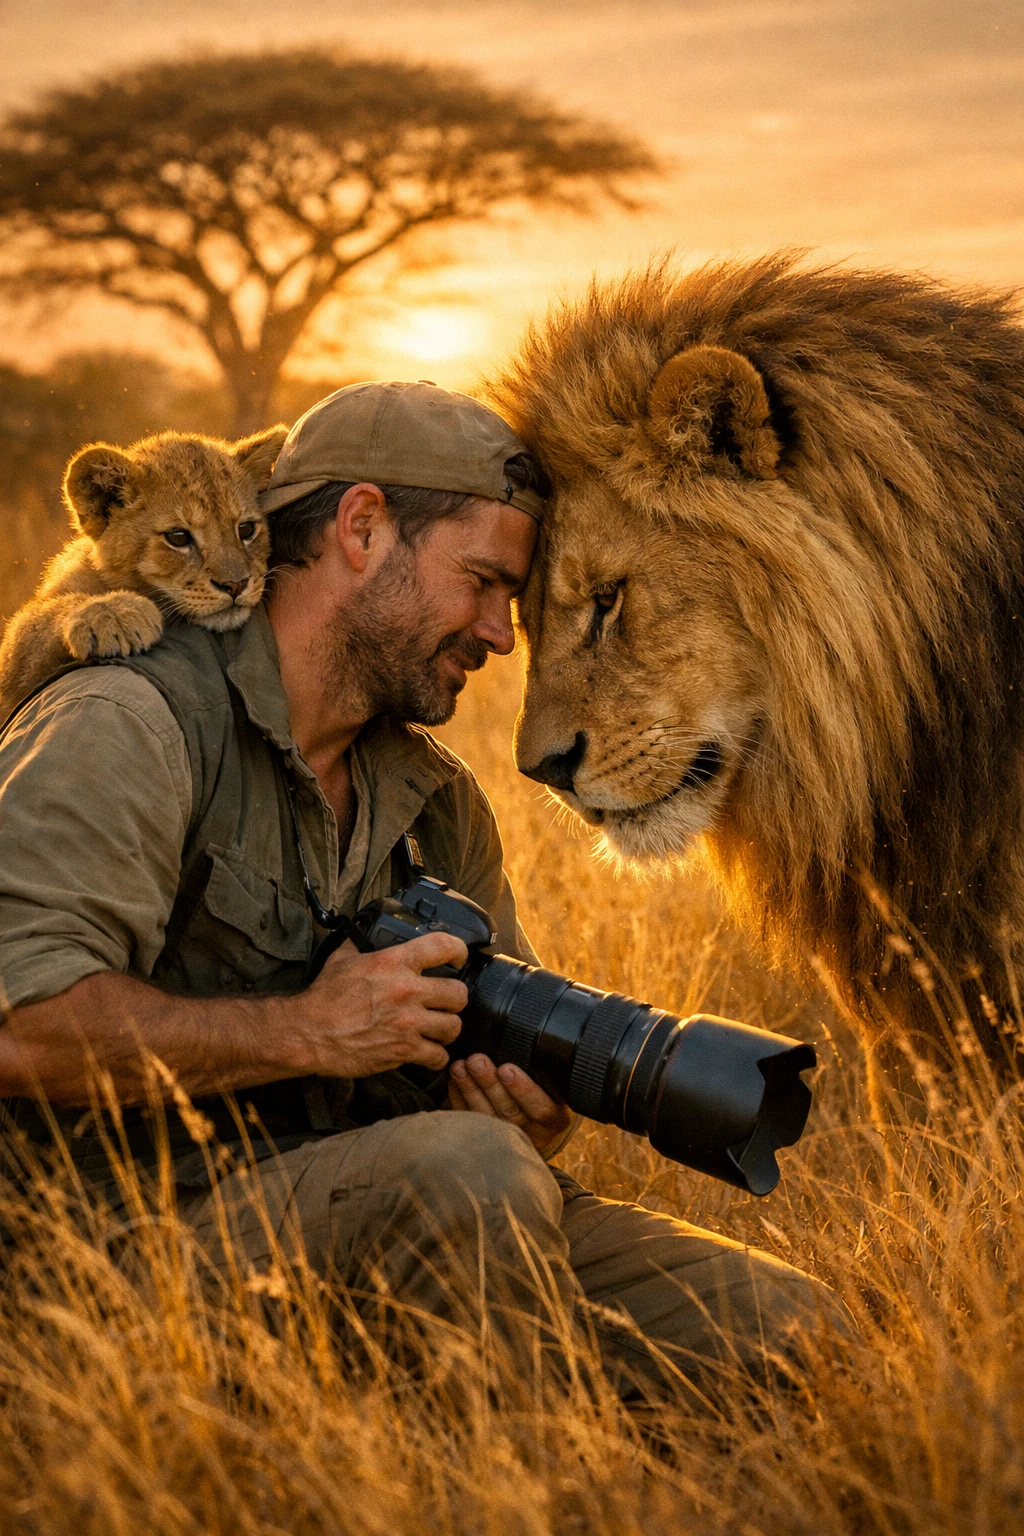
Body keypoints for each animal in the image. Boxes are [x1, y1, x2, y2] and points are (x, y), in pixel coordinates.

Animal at [0, 425, 287, 721]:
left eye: (246, 529)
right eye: (178, 537)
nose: (235, 585)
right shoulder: (12, 675)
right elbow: (43, 616)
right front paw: (113, 616)